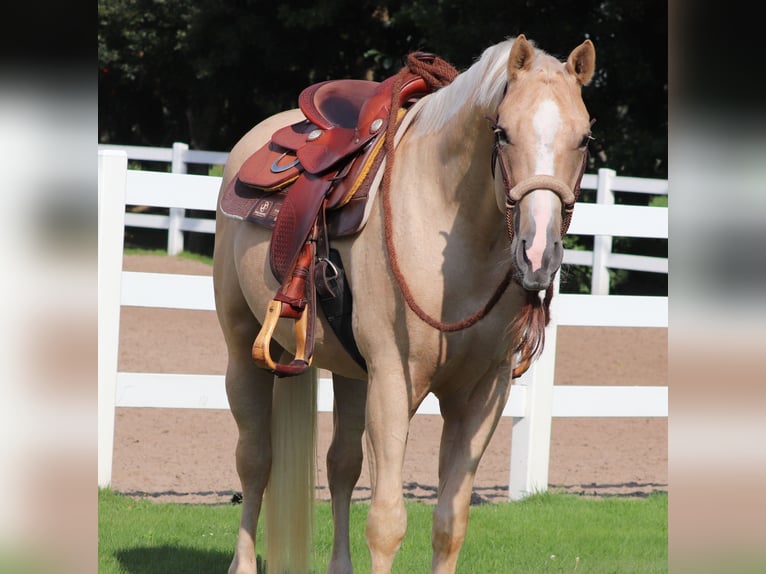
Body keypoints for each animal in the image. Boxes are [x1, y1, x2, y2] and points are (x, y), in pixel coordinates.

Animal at [213, 36, 596, 574]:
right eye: (502, 132)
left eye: (583, 138)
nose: (538, 252)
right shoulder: (395, 382)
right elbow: (387, 523)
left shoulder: (482, 394)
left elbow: (449, 525)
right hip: (243, 345)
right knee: (255, 461)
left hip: (353, 374)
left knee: (341, 465)